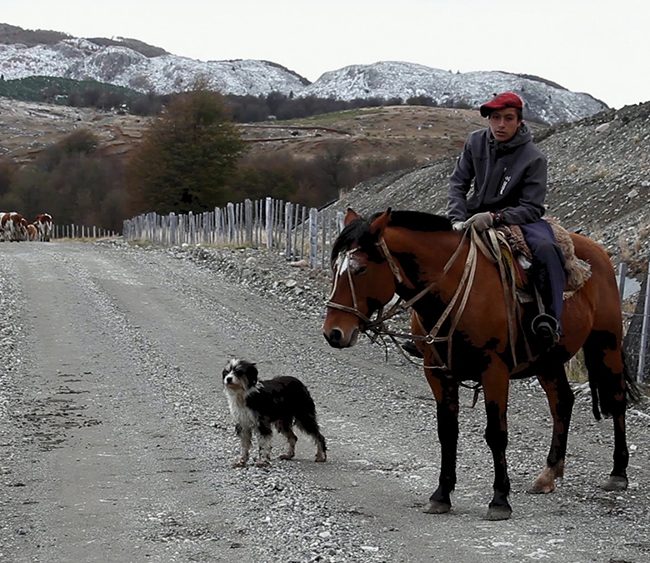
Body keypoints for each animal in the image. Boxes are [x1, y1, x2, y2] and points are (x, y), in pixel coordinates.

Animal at [322, 208, 639, 520]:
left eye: (360, 269)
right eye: (335, 268)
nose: (333, 333)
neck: (452, 288)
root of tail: (598, 253)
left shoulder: (493, 370)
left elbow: (496, 434)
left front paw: (499, 500)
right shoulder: (437, 372)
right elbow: (447, 432)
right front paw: (441, 495)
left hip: (606, 344)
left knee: (617, 400)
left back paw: (618, 473)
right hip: (548, 361)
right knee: (562, 402)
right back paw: (549, 474)